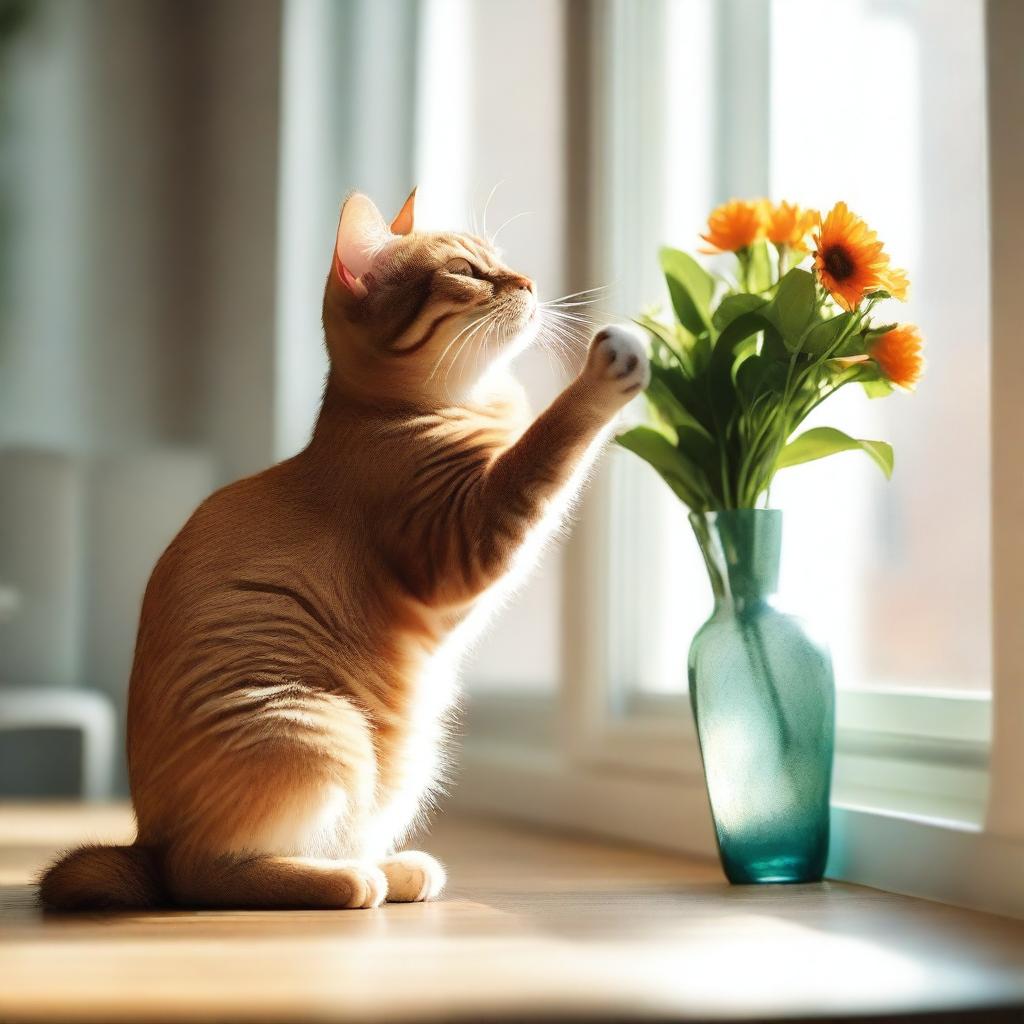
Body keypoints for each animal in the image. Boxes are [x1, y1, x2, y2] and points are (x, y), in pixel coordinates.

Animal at [41, 188, 647, 909]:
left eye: (500, 261)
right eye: (467, 271)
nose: (528, 282)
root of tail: (146, 847)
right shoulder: (468, 536)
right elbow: (551, 442)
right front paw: (604, 374)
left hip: (394, 759)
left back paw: (395, 869)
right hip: (317, 727)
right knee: (203, 874)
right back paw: (350, 882)